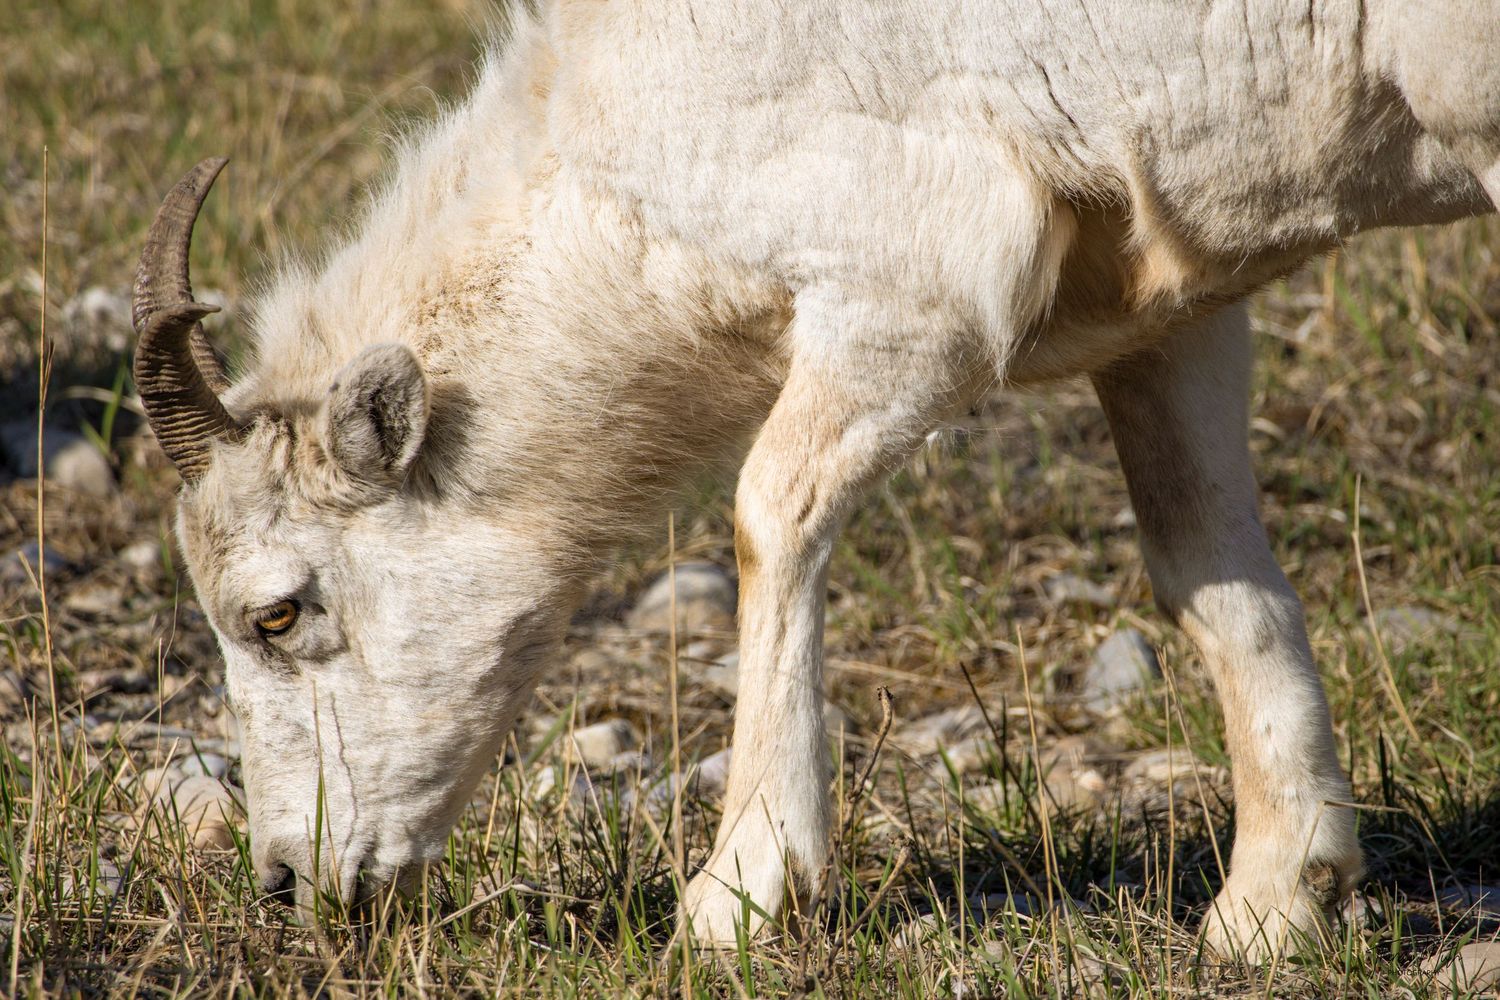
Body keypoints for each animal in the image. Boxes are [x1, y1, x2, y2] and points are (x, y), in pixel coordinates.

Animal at [130, 0, 1499, 961]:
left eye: (276, 611)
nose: (291, 880)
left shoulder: (912, 302)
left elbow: (767, 516)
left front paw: (736, 899)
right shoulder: (1168, 308)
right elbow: (1204, 567)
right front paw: (1274, 908)